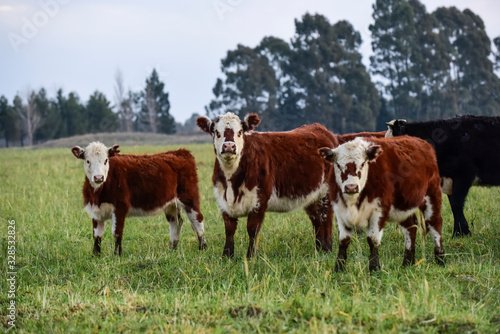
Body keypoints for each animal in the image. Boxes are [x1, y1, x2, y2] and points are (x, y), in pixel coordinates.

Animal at [71, 142, 207, 256]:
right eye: (88, 161)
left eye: (106, 160)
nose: (99, 177)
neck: (98, 193)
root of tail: (180, 152)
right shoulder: (95, 211)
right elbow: (97, 235)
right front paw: (96, 255)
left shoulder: (120, 208)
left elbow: (117, 232)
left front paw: (117, 255)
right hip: (171, 204)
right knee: (176, 222)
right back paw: (172, 249)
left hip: (189, 197)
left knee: (197, 219)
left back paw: (202, 247)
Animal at [197, 112, 338, 258]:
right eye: (216, 132)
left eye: (240, 132)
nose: (229, 146)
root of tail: (322, 129)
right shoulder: (223, 200)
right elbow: (229, 229)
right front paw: (227, 255)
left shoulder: (259, 200)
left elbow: (252, 229)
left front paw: (250, 256)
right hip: (311, 195)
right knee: (316, 219)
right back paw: (319, 249)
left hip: (327, 192)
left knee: (326, 218)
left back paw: (327, 249)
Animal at [318, 136, 444, 272]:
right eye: (338, 165)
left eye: (362, 164)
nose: (351, 187)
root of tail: (420, 141)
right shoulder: (340, 211)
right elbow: (343, 240)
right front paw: (339, 268)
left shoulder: (379, 211)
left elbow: (373, 240)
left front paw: (374, 268)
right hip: (403, 206)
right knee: (410, 227)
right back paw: (408, 262)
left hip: (432, 194)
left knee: (434, 224)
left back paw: (440, 259)